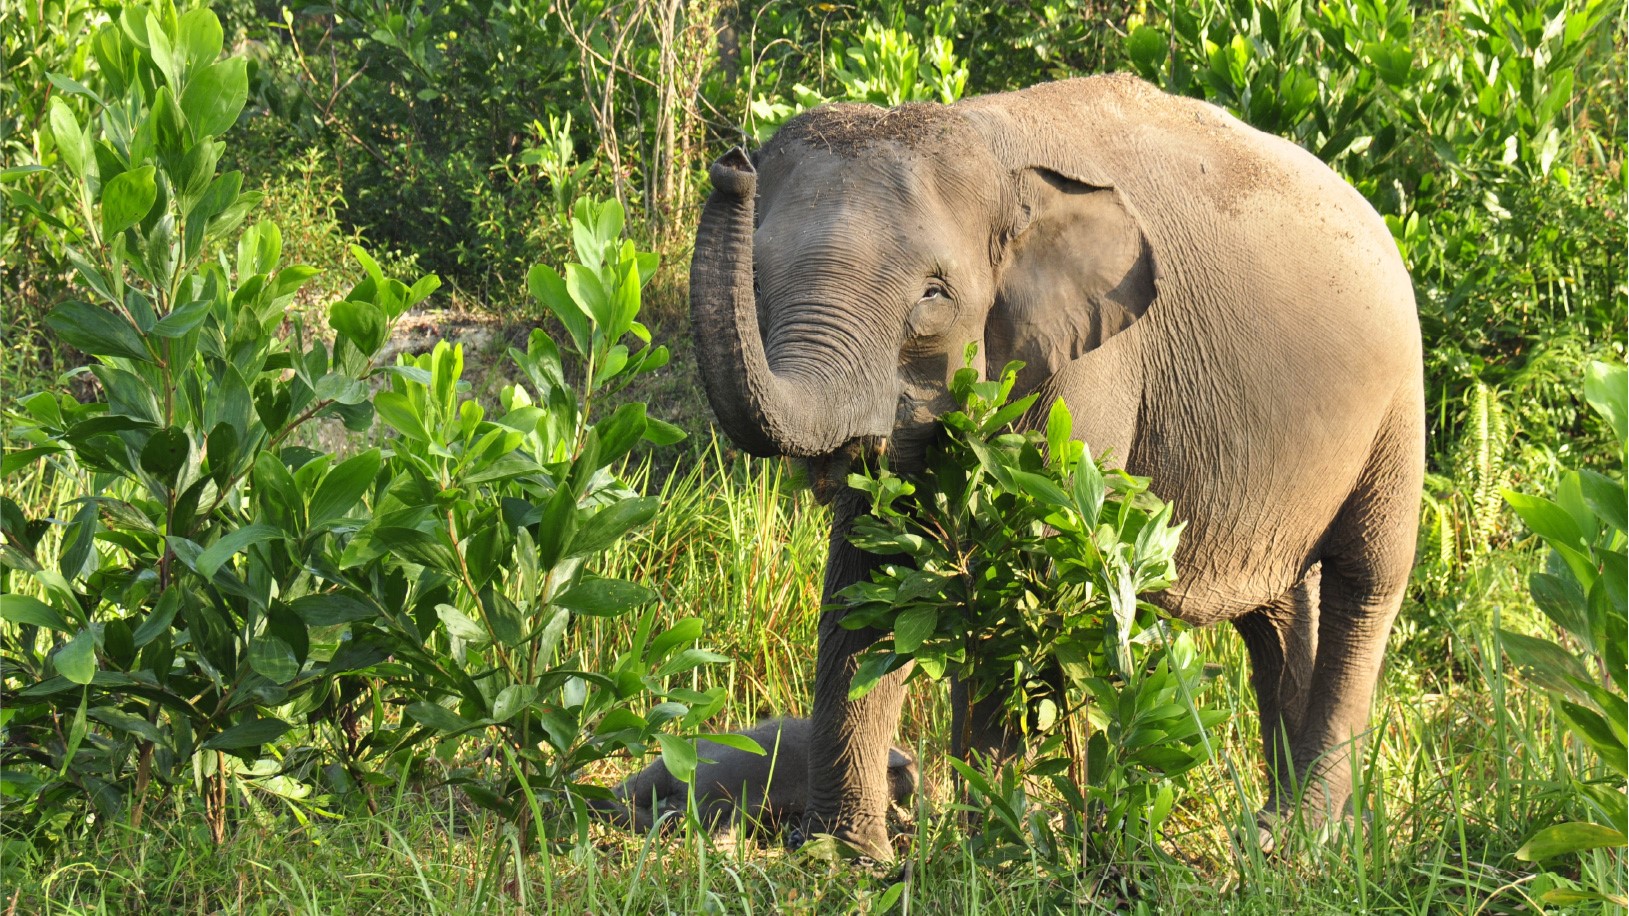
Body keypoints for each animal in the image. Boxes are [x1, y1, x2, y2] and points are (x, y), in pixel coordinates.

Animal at [687, 72, 1427, 854]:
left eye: (933, 295)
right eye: (755, 284)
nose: (731, 163)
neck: (992, 151)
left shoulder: (1097, 364)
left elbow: (1035, 565)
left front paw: (992, 847)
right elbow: (869, 572)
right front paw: (843, 853)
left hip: (1398, 405)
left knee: (1365, 579)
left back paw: (1308, 838)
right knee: (1275, 611)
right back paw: (1280, 830)